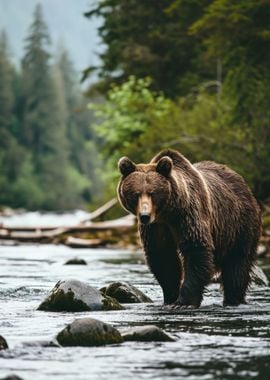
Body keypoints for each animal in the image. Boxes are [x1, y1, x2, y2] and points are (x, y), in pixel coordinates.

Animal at [116, 148, 262, 308]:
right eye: (136, 194)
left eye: (152, 193)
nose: (144, 216)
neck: (168, 213)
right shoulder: (157, 227)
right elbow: (162, 256)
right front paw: (170, 297)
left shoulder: (189, 214)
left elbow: (195, 249)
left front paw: (183, 302)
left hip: (238, 223)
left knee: (237, 262)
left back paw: (233, 299)